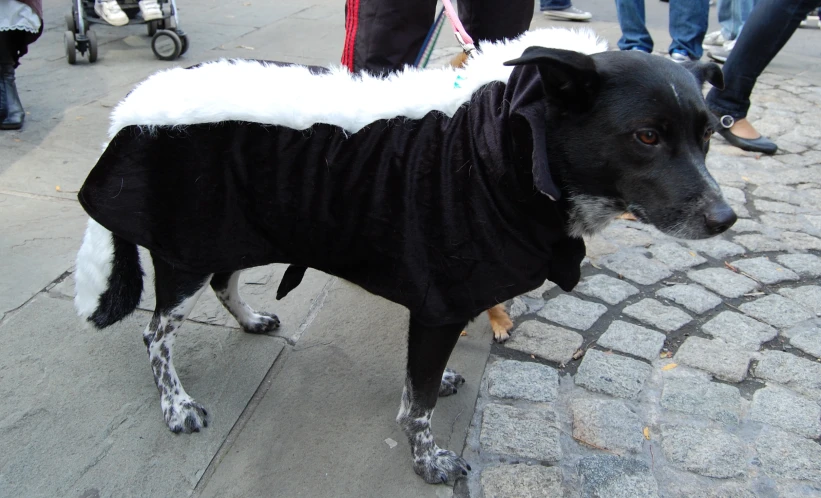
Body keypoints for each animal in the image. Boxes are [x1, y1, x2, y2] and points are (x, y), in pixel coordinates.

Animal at [73, 29, 732, 484]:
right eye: (646, 136)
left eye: (708, 135)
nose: (725, 219)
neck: (503, 149)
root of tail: (131, 110)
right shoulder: (439, 305)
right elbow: (417, 405)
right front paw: (429, 461)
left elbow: (421, 384)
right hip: (187, 249)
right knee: (156, 335)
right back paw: (176, 404)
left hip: (235, 230)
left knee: (223, 283)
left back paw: (251, 320)